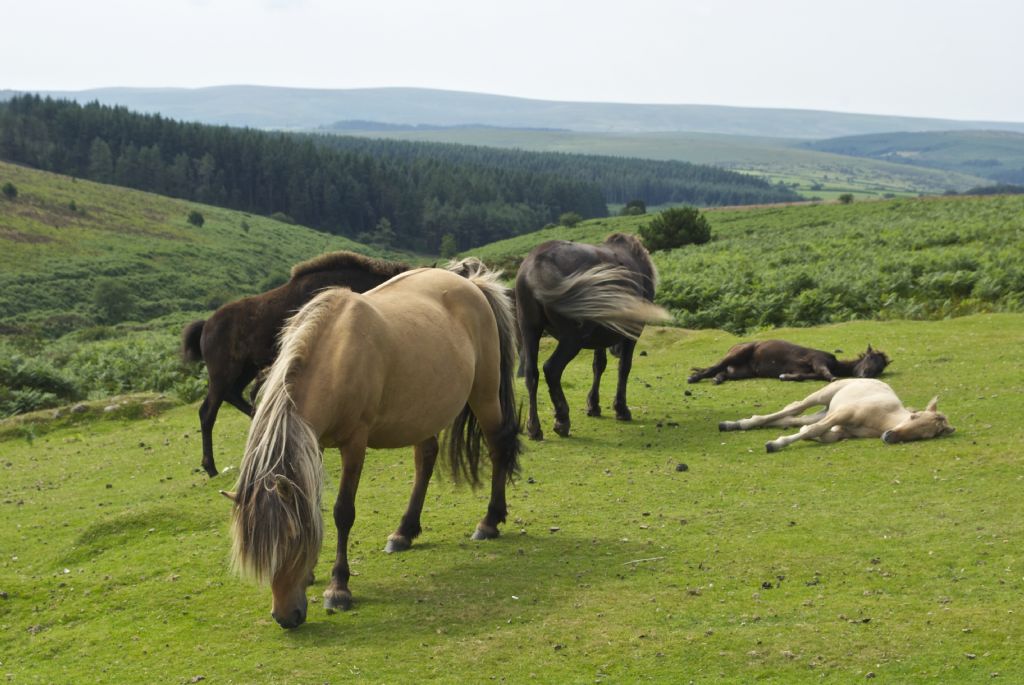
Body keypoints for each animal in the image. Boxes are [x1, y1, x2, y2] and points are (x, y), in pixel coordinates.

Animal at [182, 249, 409, 475]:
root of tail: (206, 326)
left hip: (245, 370)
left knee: (235, 395)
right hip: (223, 374)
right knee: (207, 413)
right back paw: (211, 467)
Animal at [223, 264, 520, 630]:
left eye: (291, 538)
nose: (285, 617)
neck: (335, 354)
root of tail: (472, 284)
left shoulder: (355, 444)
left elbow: (342, 513)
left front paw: (338, 588)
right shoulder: (314, 444)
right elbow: (314, 504)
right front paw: (311, 574)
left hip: (485, 394)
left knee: (497, 449)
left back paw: (489, 522)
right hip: (423, 412)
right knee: (426, 460)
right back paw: (404, 532)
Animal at [512, 232, 671, 440]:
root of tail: (539, 262)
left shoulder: (600, 337)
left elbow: (598, 365)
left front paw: (593, 405)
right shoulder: (633, 332)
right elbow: (624, 367)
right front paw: (621, 408)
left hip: (530, 330)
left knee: (532, 374)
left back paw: (534, 427)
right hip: (572, 339)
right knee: (552, 369)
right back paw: (562, 419)